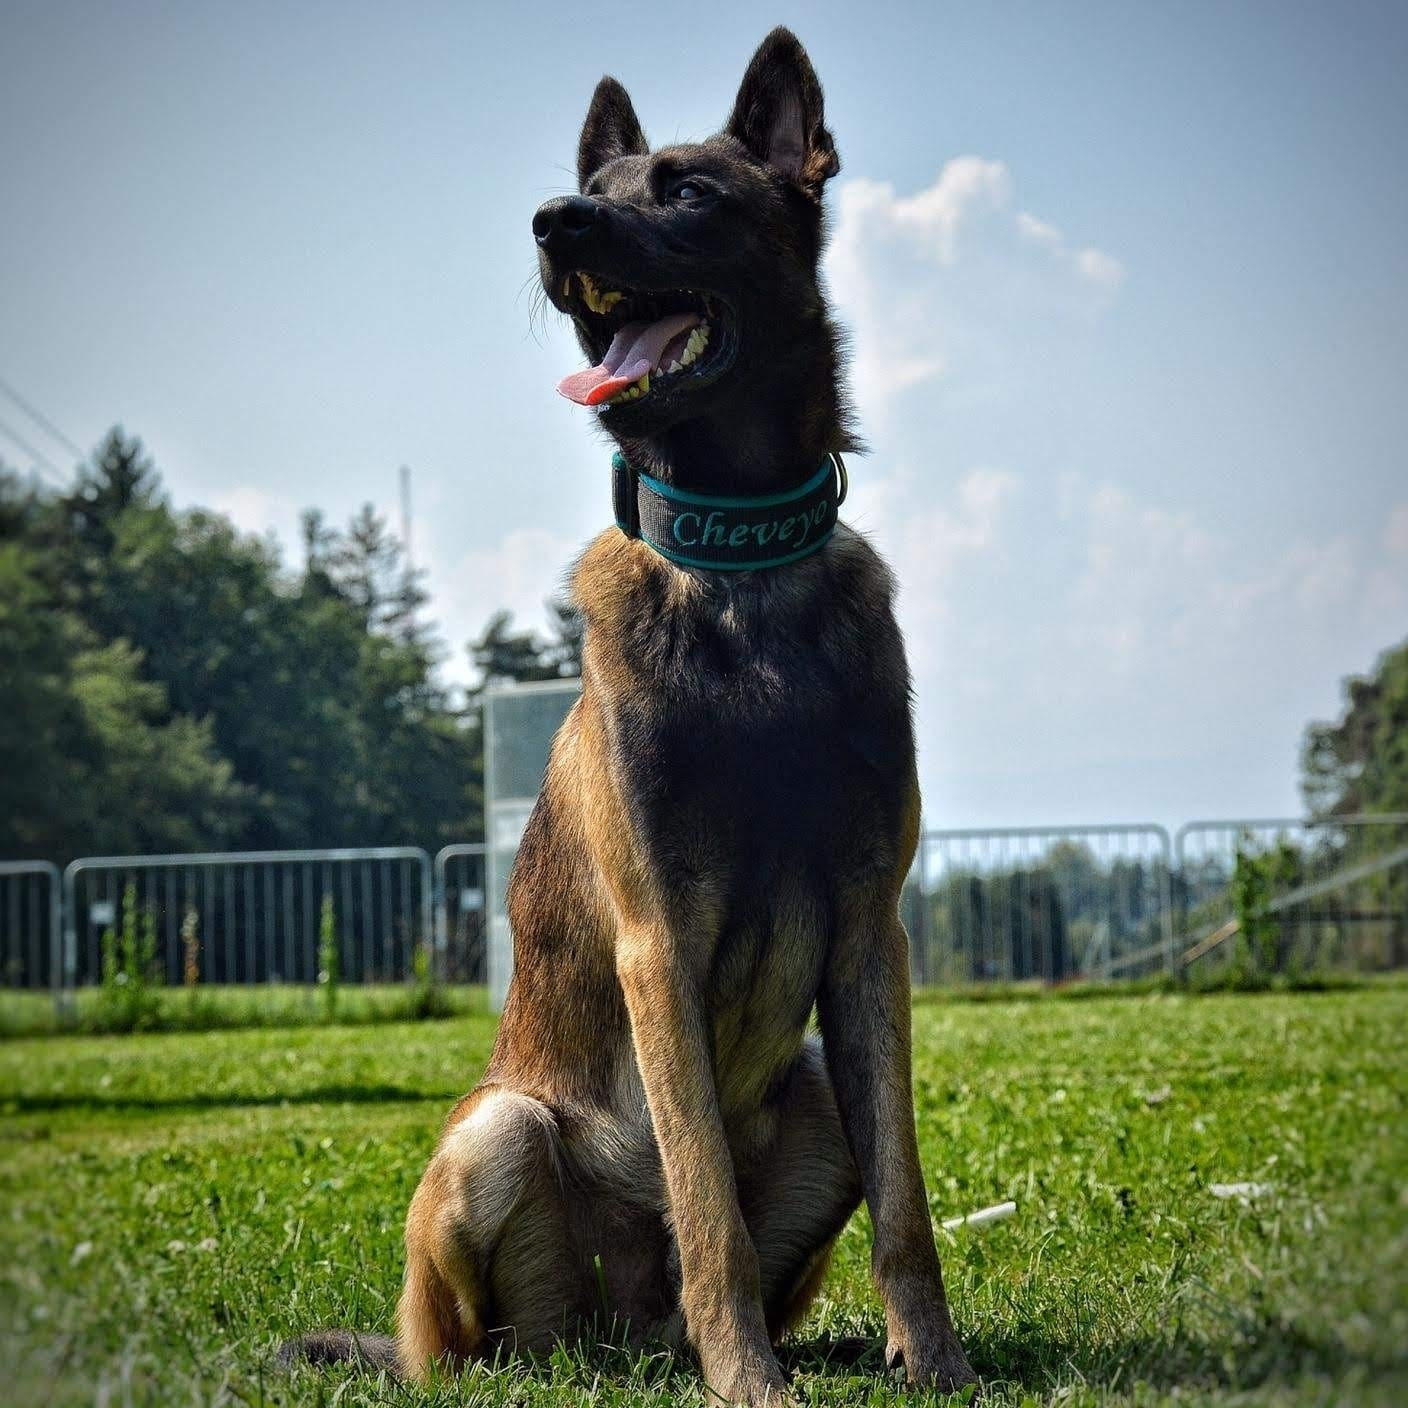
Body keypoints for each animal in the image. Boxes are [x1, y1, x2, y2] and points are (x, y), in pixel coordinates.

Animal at [282, 28, 978, 1405]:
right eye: (598, 185)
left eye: (689, 191)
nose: (556, 220)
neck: (738, 569)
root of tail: (621, 1335)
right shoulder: (659, 937)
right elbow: (704, 1195)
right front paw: (751, 1379)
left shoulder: (870, 935)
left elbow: (906, 1199)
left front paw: (931, 1359)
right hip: (499, 1135)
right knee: (472, 1347)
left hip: (813, 1095)